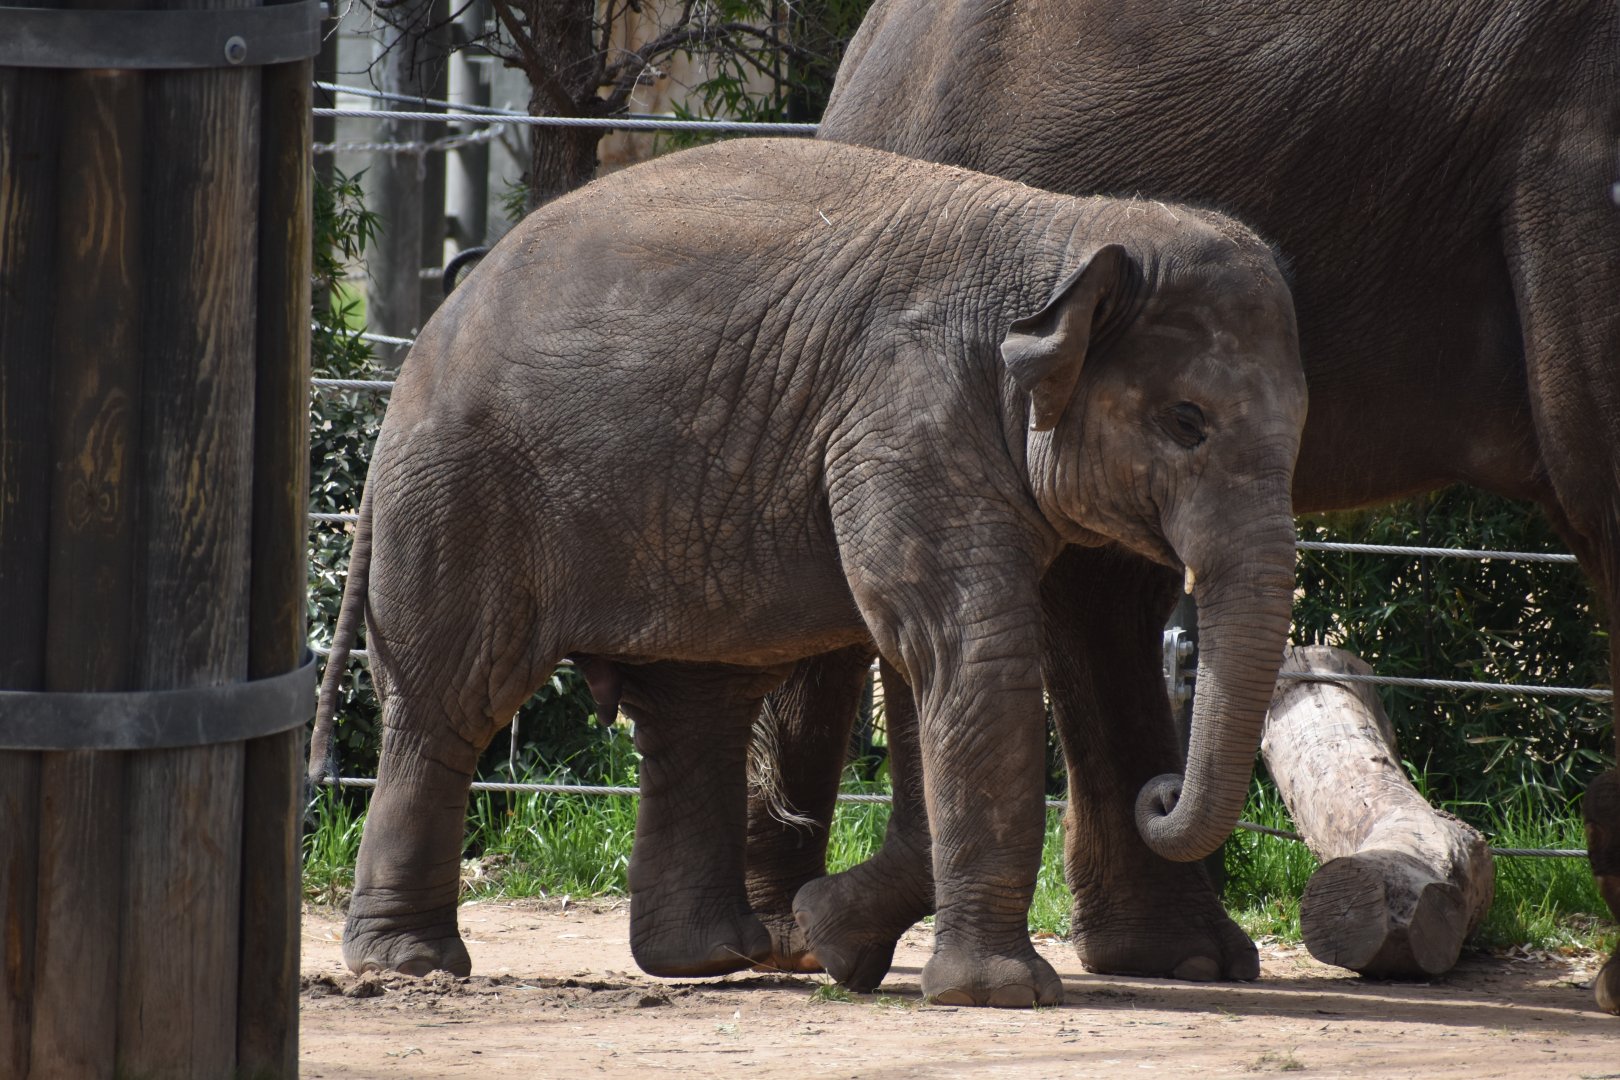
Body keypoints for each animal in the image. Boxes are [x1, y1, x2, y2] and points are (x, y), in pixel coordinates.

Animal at [307, 136, 1309, 1008]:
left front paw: (833, 937)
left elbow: (926, 667)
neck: (1070, 234)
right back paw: (413, 966)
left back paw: (719, 954)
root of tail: (420, 345)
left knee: (695, 709)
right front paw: (998, 994)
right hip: (458, 495)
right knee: (449, 705)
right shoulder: (907, 412)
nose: (1160, 794)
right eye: (1188, 422)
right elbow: (964, 646)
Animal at [739, 0, 1620, 1012]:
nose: (1165, 794)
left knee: (1094, 587)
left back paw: (1166, 956)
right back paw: (784, 936)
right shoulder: (1574, 146)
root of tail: (859, 64)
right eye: (1190, 420)